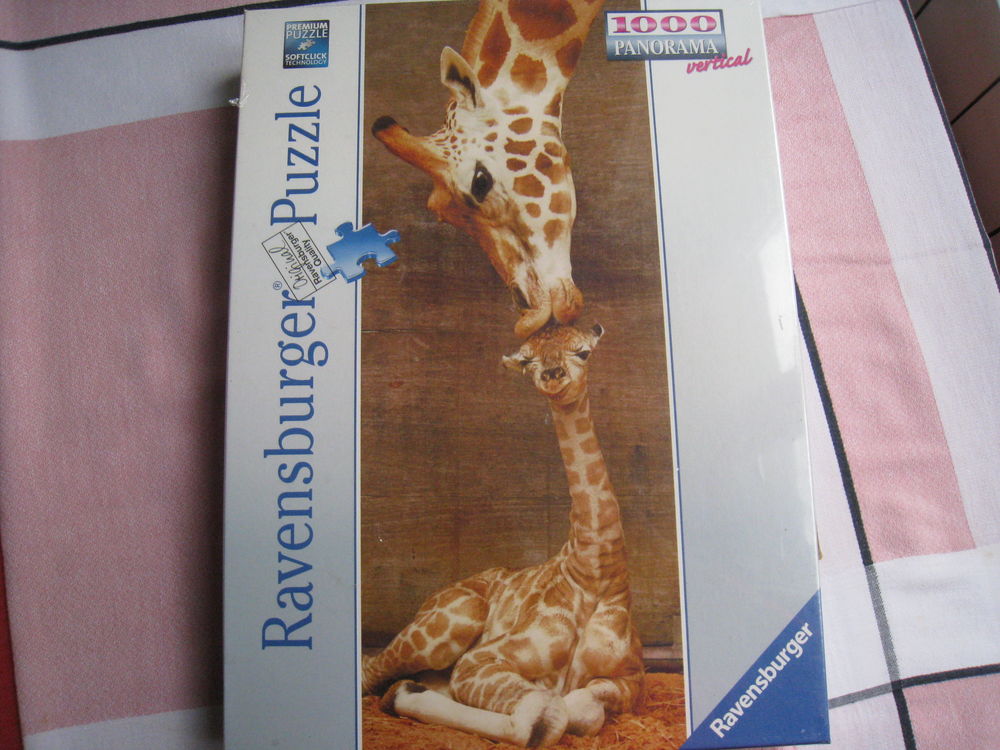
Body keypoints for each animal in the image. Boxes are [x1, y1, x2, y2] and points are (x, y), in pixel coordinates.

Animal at [362, 324, 644, 747]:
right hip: (454, 619)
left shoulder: (632, 678)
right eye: (527, 361)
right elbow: (545, 712)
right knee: (371, 672)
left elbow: (583, 709)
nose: (552, 376)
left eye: (583, 352)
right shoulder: (480, 660)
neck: (595, 572)